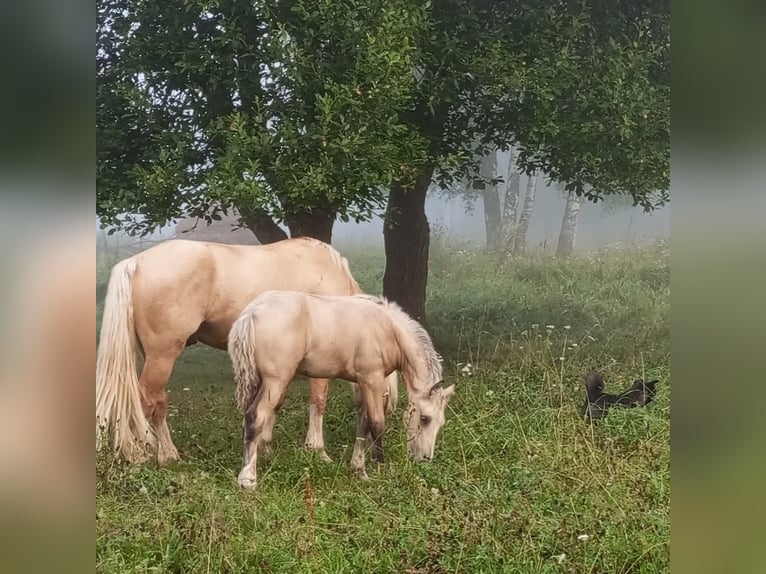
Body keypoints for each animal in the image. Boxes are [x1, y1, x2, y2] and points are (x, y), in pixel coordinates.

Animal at [97, 238, 400, 468]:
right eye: (385, 394)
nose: (376, 442)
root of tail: (135, 263)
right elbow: (318, 401)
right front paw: (317, 450)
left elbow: (274, 403)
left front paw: (264, 447)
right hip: (163, 356)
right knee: (147, 400)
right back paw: (153, 455)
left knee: (154, 400)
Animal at [228, 290, 456, 488]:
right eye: (425, 418)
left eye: (441, 423)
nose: (425, 458)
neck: (388, 329)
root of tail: (252, 312)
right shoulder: (372, 380)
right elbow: (376, 424)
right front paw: (380, 469)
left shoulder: (363, 383)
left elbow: (363, 424)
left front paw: (359, 469)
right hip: (275, 382)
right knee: (255, 417)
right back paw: (248, 480)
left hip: (260, 381)